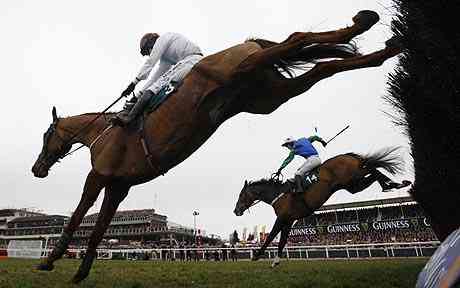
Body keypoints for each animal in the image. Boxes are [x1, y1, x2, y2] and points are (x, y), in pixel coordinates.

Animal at [32, 10, 400, 282]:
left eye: (45, 136)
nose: (37, 169)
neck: (102, 133)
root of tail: (246, 45)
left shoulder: (98, 176)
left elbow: (78, 216)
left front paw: (49, 261)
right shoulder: (119, 185)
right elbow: (98, 228)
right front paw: (80, 271)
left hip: (243, 69)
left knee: (297, 38)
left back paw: (366, 23)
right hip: (268, 96)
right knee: (326, 66)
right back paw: (384, 48)